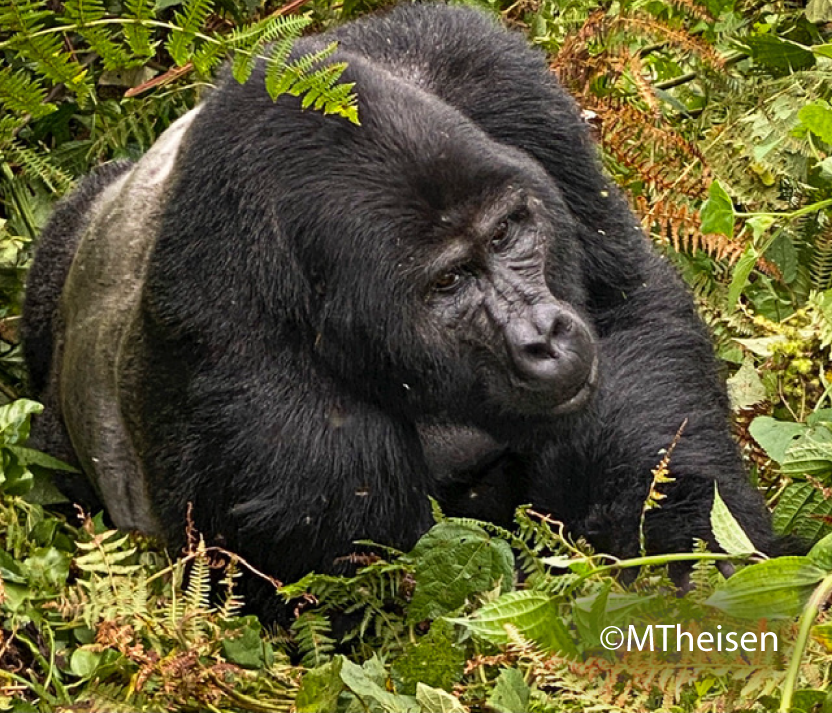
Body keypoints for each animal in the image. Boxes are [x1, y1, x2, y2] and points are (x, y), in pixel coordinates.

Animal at [22, 1, 776, 612]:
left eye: (506, 234)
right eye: (448, 284)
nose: (543, 336)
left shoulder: (486, 67)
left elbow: (628, 316)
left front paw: (688, 549)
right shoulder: (255, 372)